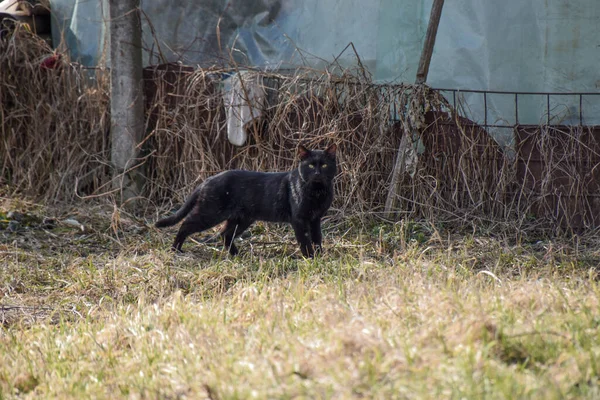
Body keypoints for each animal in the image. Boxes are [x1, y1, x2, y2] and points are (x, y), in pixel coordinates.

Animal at [156, 144, 338, 256]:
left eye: (324, 165)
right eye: (311, 165)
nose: (317, 174)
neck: (317, 192)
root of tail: (209, 179)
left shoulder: (315, 219)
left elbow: (317, 238)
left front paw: (320, 256)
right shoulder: (299, 219)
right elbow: (305, 240)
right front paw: (310, 258)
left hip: (241, 219)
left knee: (225, 234)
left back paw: (236, 255)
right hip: (210, 213)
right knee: (186, 224)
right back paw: (175, 250)